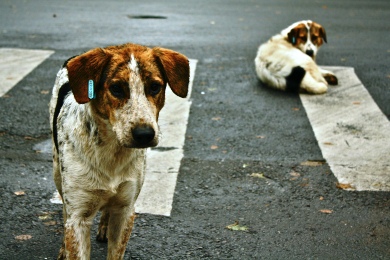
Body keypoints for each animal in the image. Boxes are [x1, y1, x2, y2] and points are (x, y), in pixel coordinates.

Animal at [49, 43, 190, 258]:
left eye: (155, 87)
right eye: (116, 88)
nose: (144, 134)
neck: (111, 151)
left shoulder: (126, 210)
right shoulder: (79, 216)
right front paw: (66, 248)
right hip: (57, 171)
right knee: (65, 208)